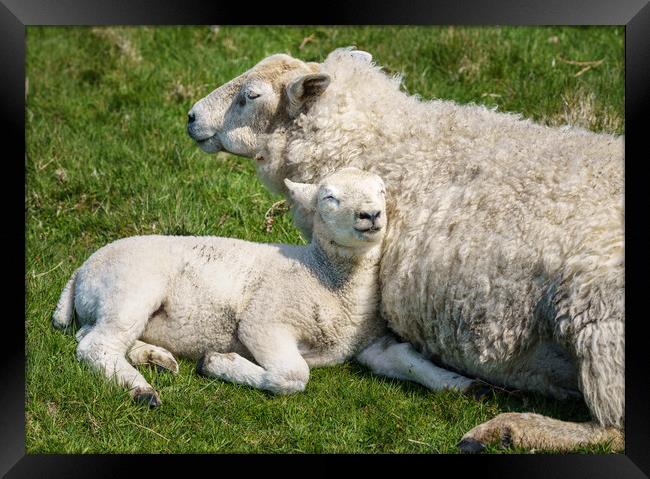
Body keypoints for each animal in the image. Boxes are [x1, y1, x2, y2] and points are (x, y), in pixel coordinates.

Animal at [53, 167, 474, 406]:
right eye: (329, 197)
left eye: (382, 191)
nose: (371, 215)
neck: (326, 279)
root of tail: (82, 270)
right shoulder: (264, 322)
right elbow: (293, 376)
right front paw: (217, 363)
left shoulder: (370, 345)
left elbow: (408, 359)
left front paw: (462, 384)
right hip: (131, 287)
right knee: (95, 346)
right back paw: (141, 389)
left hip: (111, 303)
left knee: (94, 338)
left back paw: (154, 358)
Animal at [186, 47, 624, 452]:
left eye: (251, 96)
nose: (190, 117)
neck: (383, 144)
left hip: (601, 331)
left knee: (610, 429)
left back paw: (507, 429)